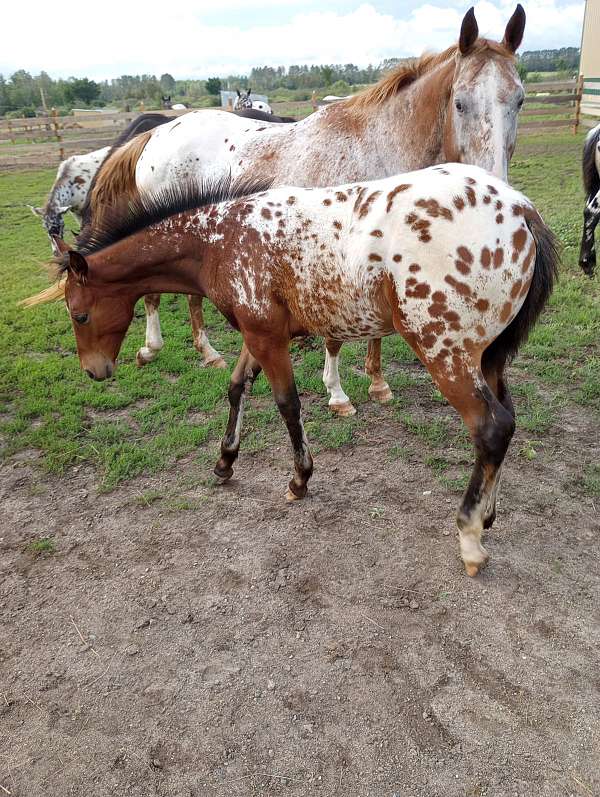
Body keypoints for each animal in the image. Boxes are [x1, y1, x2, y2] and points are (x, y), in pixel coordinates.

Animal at [27, 163, 564, 572]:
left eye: (79, 314)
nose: (95, 371)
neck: (219, 239)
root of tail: (521, 209)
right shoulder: (258, 332)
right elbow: (236, 387)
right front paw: (224, 462)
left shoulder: (268, 338)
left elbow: (287, 404)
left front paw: (299, 480)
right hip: (486, 355)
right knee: (506, 421)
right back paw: (488, 516)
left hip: (443, 350)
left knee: (490, 427)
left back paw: (470, 536)